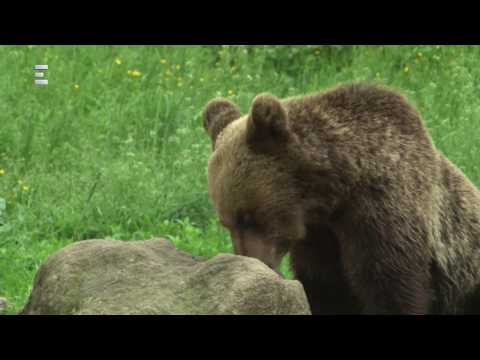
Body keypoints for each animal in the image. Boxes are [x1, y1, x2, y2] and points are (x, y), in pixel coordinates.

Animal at [201, 83, 480, 314]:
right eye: (226, 223)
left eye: (248, 217)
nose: (255, 263)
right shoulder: (318, 236)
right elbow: (325, 287)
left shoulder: (384, 210)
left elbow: (390, 283)